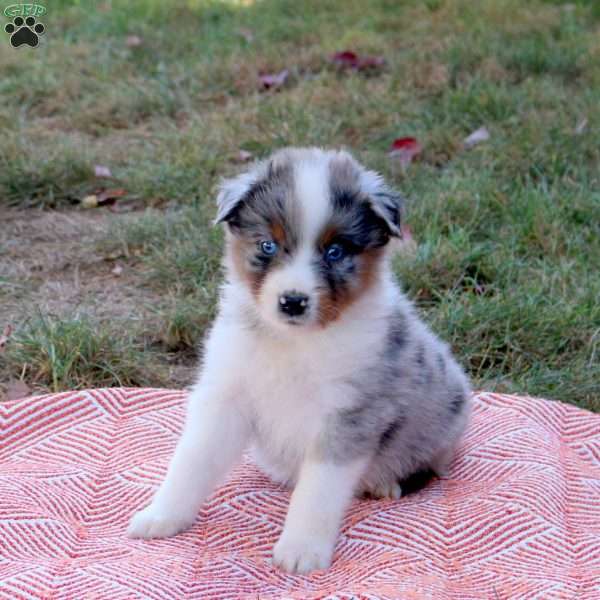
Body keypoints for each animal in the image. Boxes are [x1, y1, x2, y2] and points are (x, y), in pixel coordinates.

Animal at [127, 148, 474, 576]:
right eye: (268, 246)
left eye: (335, 251)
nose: (292, 302)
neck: (294, 342)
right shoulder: (227, 394)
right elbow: (192, 459)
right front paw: (161, 516)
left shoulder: (348, 414)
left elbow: (318, 490)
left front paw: (301, 549)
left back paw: (384, 483)